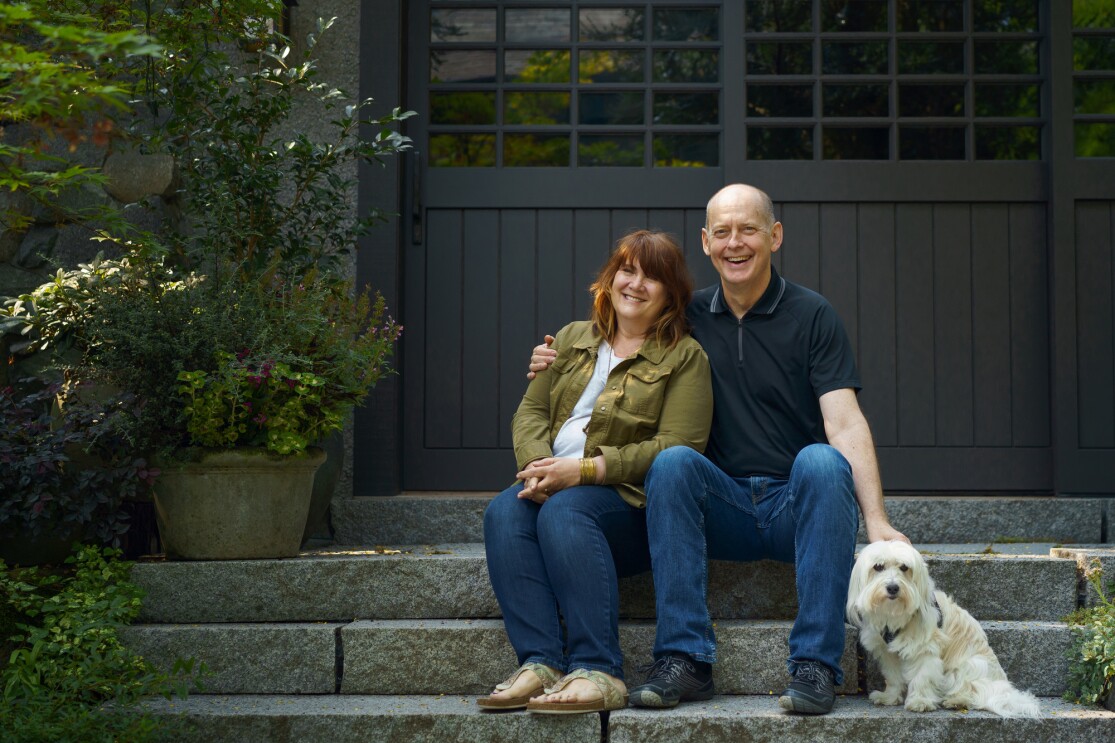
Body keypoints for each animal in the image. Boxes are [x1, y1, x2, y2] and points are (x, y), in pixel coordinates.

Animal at [847, 537, 1039, 718]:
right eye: (878, 567)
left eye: (904, 567)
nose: (893, 587)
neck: (894, 615)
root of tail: (1002, 686)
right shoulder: (887, 653)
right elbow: (893, 677)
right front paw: (890, 697)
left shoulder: (926, 649)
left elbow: (922, 677)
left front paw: (920, 701)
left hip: (968, 665)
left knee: (973, 689)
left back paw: (958, 700)